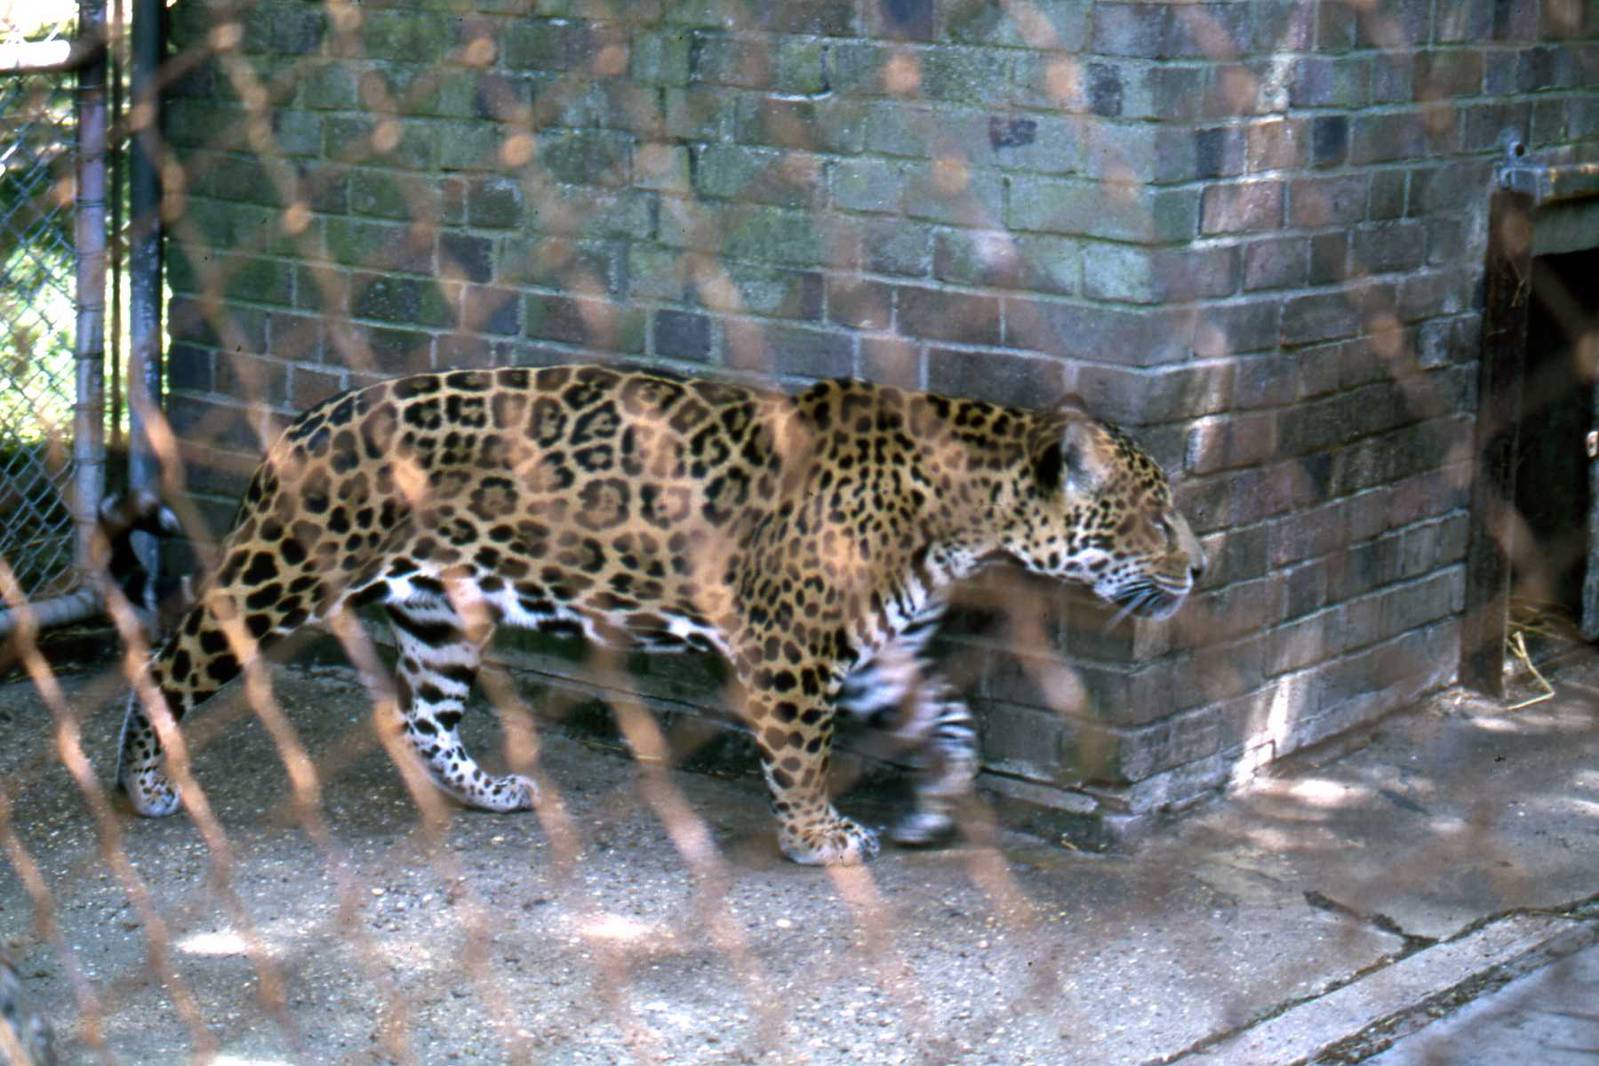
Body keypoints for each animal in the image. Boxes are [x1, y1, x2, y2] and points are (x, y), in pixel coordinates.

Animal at [116, 363, 1204, 865]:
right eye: (1155, 514)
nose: (1200, 566)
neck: (962, 512)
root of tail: (307, 420)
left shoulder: (879, 652)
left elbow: (956, 727)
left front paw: (935, 807)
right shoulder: (795, 651)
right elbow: (801, 754)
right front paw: (816, 838)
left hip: (441, 612)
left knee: (420, 715)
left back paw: (488, 792)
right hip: (286, 572)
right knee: (167, 660)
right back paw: (143, 787)